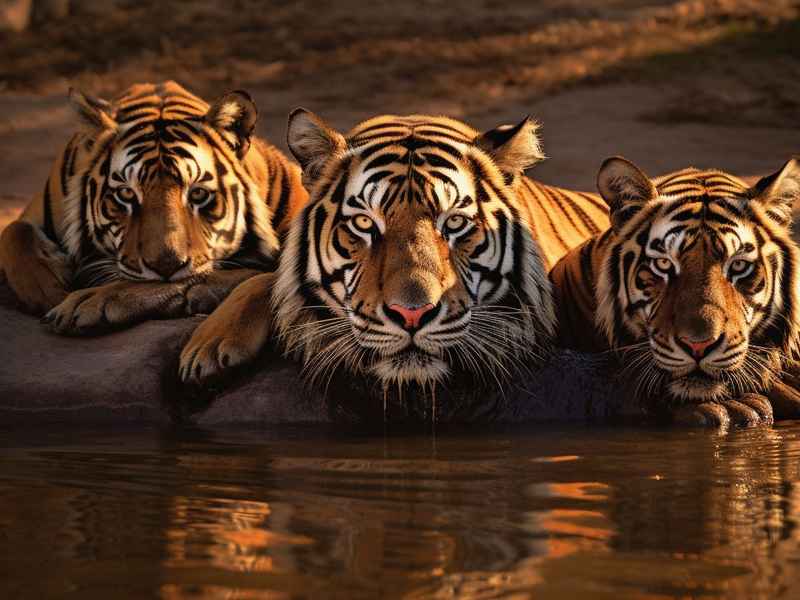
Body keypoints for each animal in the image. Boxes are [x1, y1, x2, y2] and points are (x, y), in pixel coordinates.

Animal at [0, 81, 307, 334]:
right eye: (126, 193)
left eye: (198, 194)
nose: (167, 265)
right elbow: (13, 232)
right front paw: (47, 288)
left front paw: (84, 300)